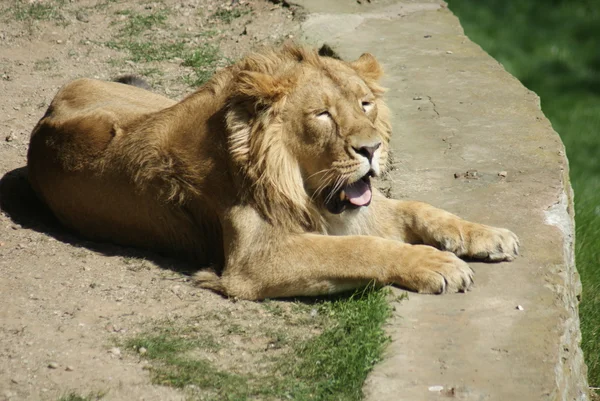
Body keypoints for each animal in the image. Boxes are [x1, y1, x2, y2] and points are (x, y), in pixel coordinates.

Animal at [25, 44, 516, 300]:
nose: (372, 148)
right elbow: (359, 249)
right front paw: (436, 263)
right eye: (322, 115)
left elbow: (419, 208)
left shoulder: (357, 208)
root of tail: (44, 118)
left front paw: (488, 235)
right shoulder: (254, 260)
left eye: (365, 104)